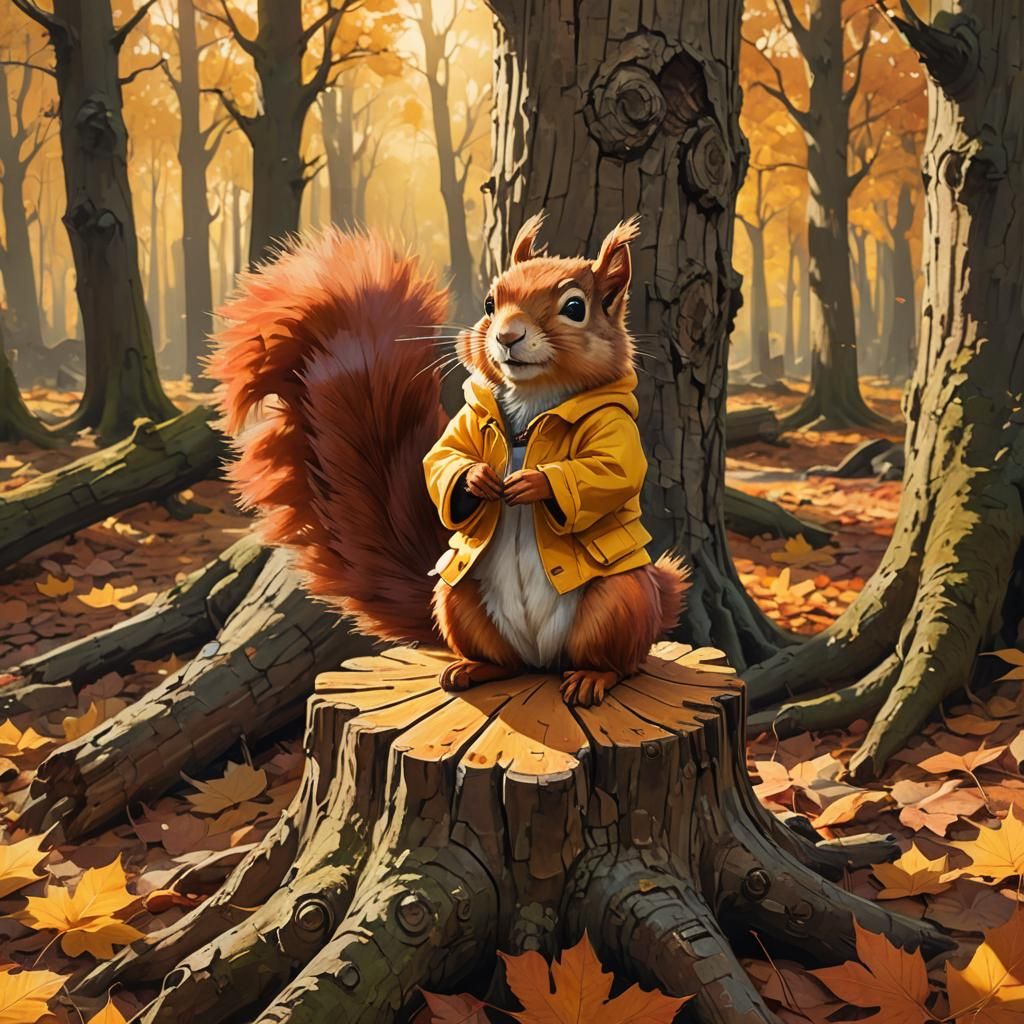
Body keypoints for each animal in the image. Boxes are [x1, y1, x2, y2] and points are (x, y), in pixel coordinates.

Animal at [208, 212, 688, 707]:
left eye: (575, 307)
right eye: (490, 302)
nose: (507, 336)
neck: (533, 400)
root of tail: (544, 660)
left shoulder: (616, 427)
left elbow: (611, 470)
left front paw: (535, 482)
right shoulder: (467, 423)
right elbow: (442, 458)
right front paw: (476, 479)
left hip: (619, 601)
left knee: (621, 662)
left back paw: (593, 677)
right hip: (457, 597)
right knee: (505, 661)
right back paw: (473, 669)